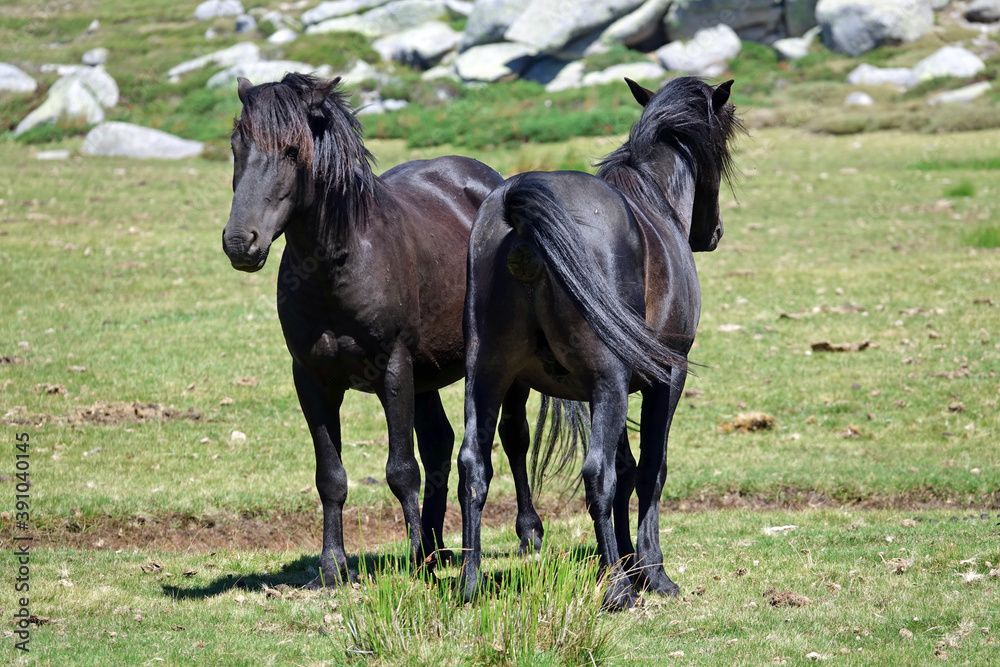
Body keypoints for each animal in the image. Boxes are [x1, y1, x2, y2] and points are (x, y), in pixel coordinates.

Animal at [221, 73, 554, 587]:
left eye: (293, 151)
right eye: (238, 145)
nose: (240, 242)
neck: (338, 267)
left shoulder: (394, 370)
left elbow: (401, 470)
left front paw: (416, 562)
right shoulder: (311, 380)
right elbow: (331, 477)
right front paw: (333, 566)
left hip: (500, 368)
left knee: (514, 437)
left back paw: (526, 533)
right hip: (427, 376)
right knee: (439, 444)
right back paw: (438, 545)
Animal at [457, 76, 743, 609]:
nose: (712, 232)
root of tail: (520, 217)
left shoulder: (602, 390)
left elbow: (628, 468)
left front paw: (630, 560)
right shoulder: (663, 377)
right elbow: (648, 470)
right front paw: (650, 571)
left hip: (487, 377)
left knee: (473, 466)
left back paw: (470, 582)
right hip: (607, 381)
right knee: (596, 475)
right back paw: (617, 589)